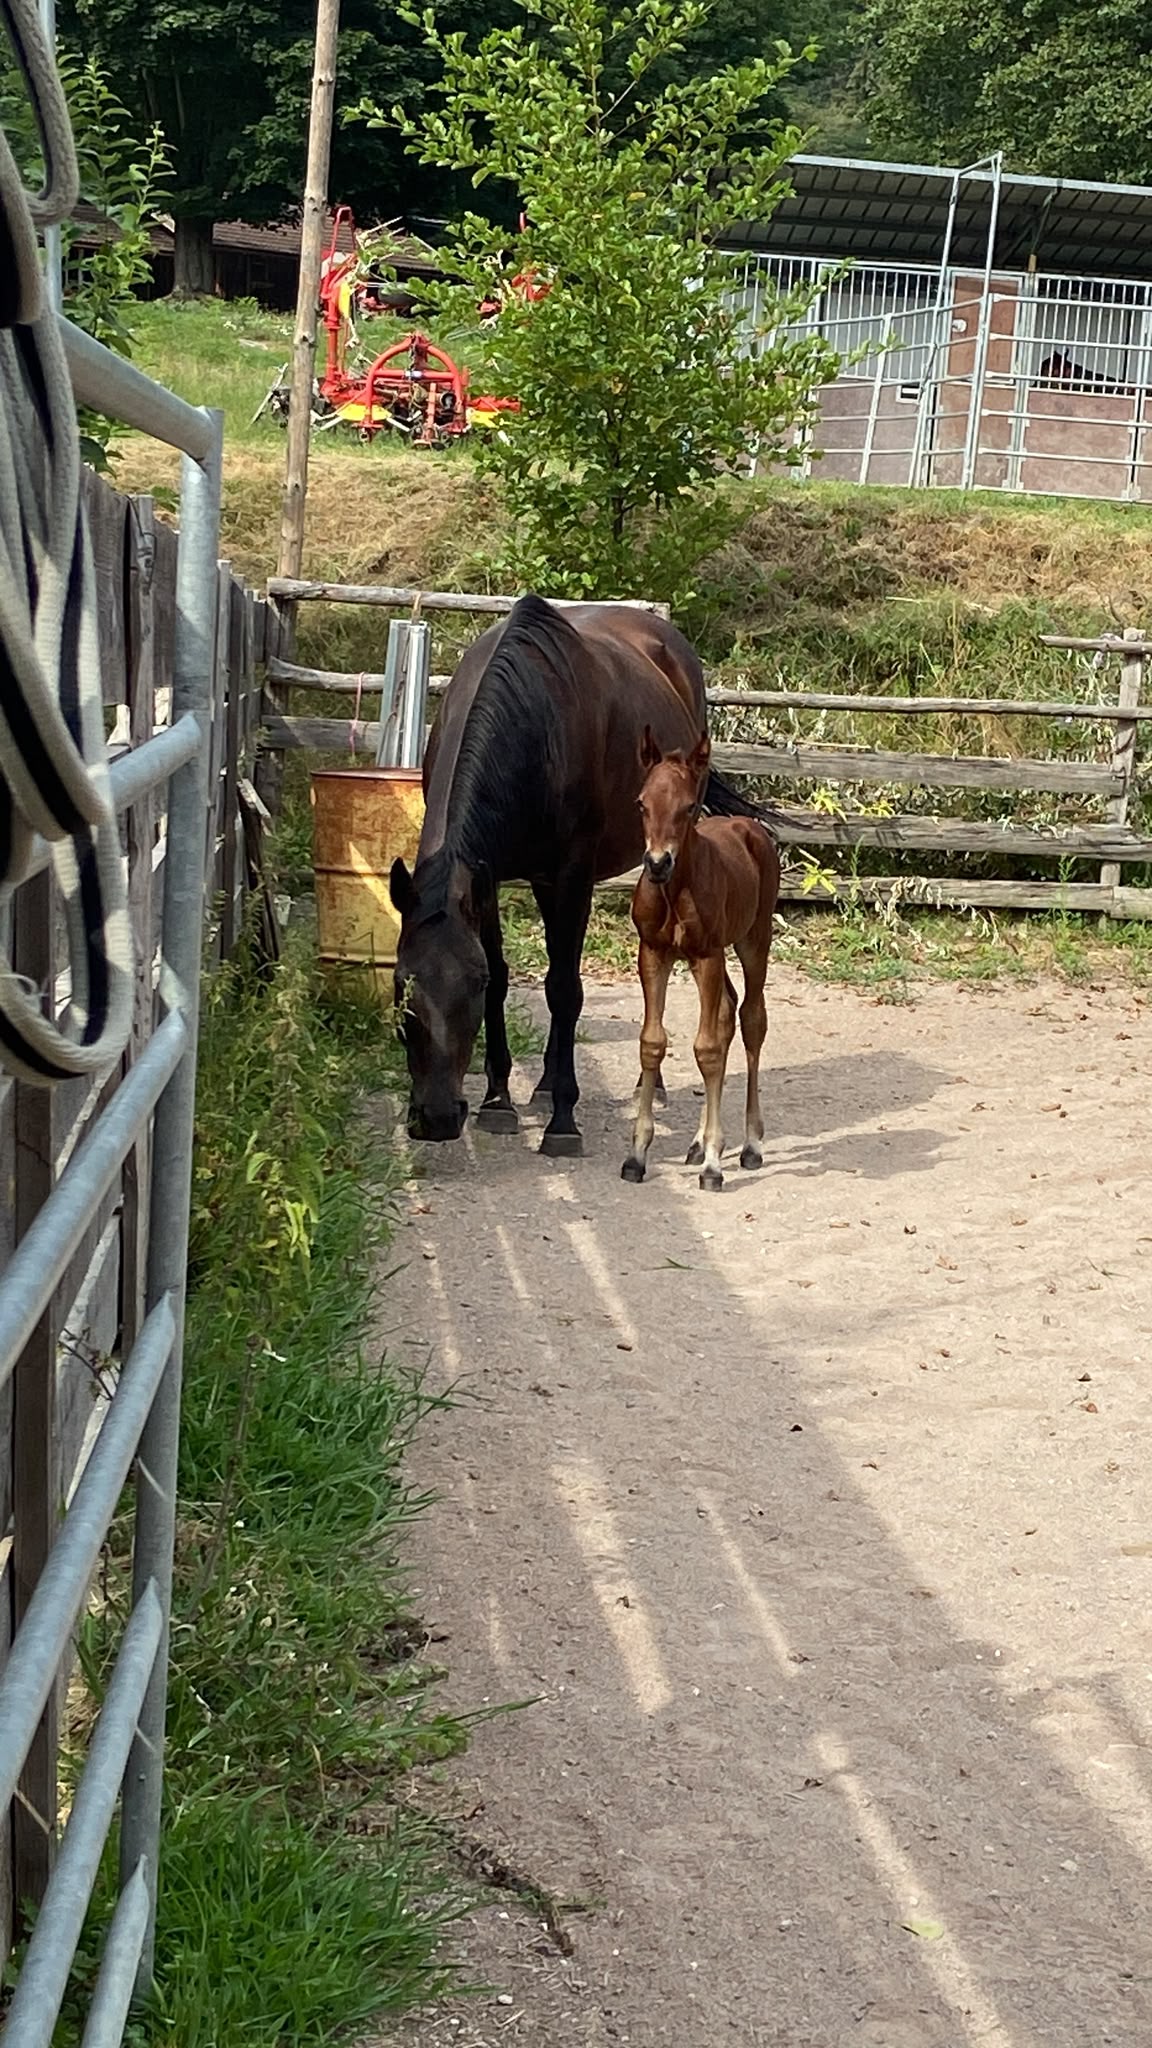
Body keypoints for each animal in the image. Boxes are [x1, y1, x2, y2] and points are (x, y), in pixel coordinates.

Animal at [389, 594, 774, 1156]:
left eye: (470, 988)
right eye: (402, 985)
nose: (436, 1118)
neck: (533, 726)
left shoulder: (570, 874)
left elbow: (563, 988)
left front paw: (563, 1121)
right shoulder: (489, 878)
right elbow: (509, 975)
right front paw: (499, 1099)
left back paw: (643, 1085)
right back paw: (546, 1082)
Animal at [621, 729, 781, 1193]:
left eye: (688, 806)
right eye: (641, 803)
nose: (657, 863)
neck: (675, 892)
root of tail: (747, 826)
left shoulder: (707, 954)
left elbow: (706, 1048)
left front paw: (713, 1164)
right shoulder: (653, 954)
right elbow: (652, 1043)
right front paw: (637, 1156)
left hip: (752, 940)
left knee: (751, 1020)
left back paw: (750, 1145)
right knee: (727, 1013)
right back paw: (697, 1142)